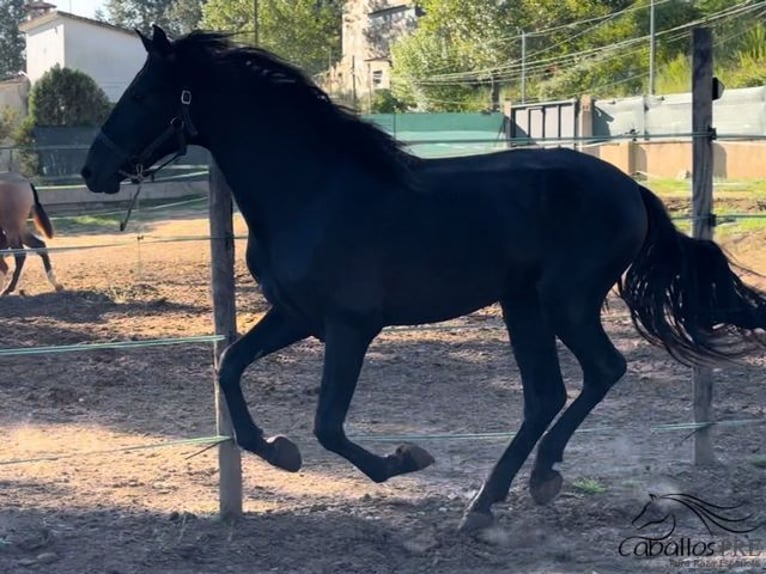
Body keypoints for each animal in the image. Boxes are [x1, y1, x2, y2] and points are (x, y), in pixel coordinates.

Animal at [81, 25, 766, 532]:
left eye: (141, 95)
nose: (93, 170)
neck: (314, 191)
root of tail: (630, 190)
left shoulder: (350, 327)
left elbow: (329, 424)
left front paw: (403, 459)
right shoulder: (294, 316)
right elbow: (230, 368)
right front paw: (279, 450)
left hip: (564, 301)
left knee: (601, 370)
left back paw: (535, 480)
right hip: (522, 304)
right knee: (545, 393)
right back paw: (487, 502)